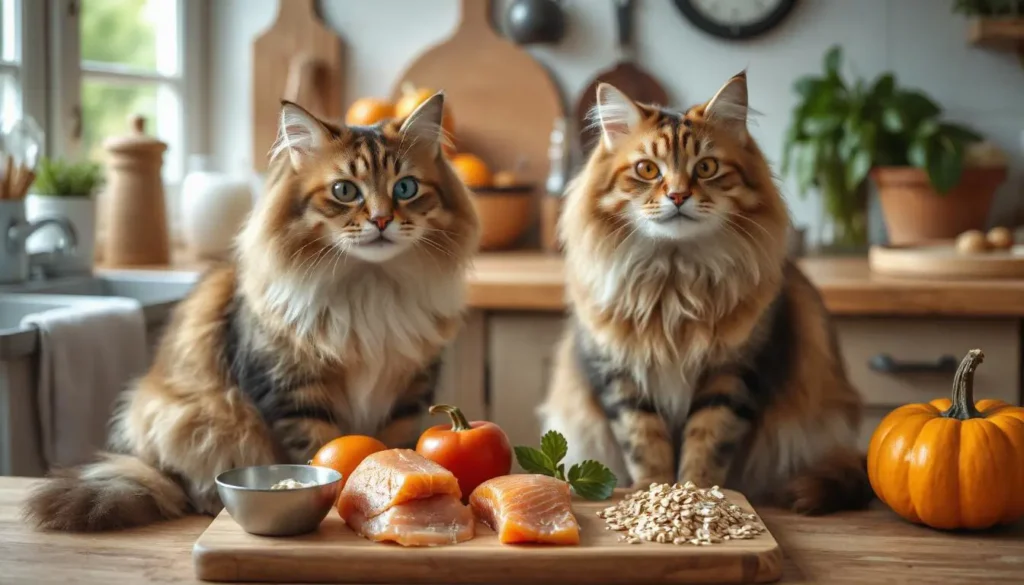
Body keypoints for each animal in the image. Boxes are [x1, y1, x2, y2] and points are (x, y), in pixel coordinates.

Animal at [24, 92, 479, 532]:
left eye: (405, 188)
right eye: (345, 191)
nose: (383, 220)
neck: (370, 286)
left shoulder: (409, 392)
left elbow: (399, 444)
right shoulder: (294, 392)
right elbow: (315, 449)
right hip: (183, 416)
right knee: (182, 482)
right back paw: (206, 500)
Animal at [540, 74, 868, 516]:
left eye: (707, 167)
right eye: (647, 169)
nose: (678, 196)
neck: (674, 283)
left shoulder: (733, 372)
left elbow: (707, 444)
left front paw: (695, 492)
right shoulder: (619, 375)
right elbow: (644, 445)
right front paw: (651, 491)